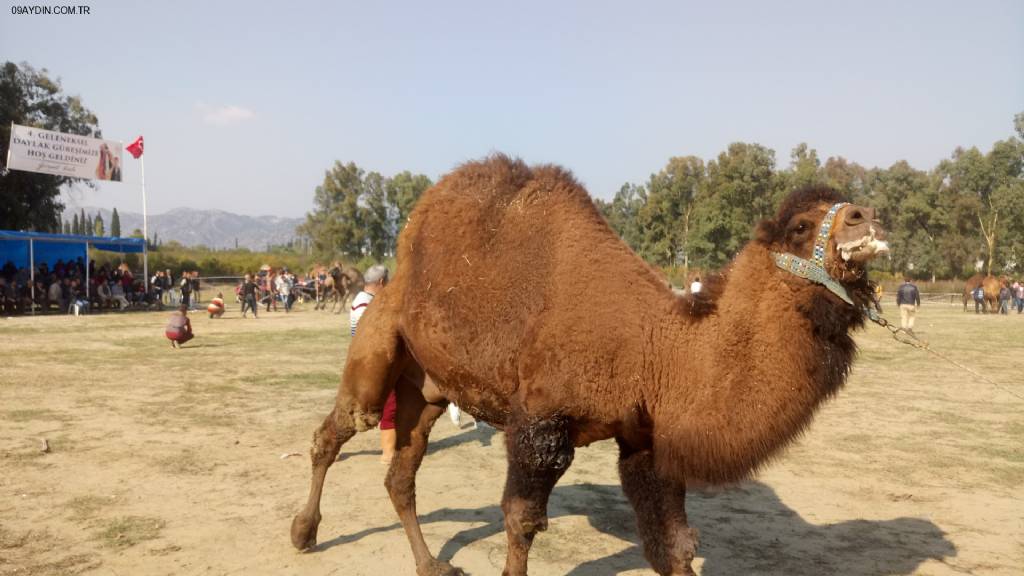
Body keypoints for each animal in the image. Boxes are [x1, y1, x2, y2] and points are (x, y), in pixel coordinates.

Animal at [290, 154, 888, 573]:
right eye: (801, 227)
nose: (867, 216)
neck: (655, 348)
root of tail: (393, 277)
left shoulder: (644, 439)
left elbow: (674, 545)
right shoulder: (540, 423)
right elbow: (522, 521)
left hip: (429, 387)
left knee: (401, 472)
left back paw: (433, 564)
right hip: (377, 344)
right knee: (341, 429)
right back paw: (304, 532)